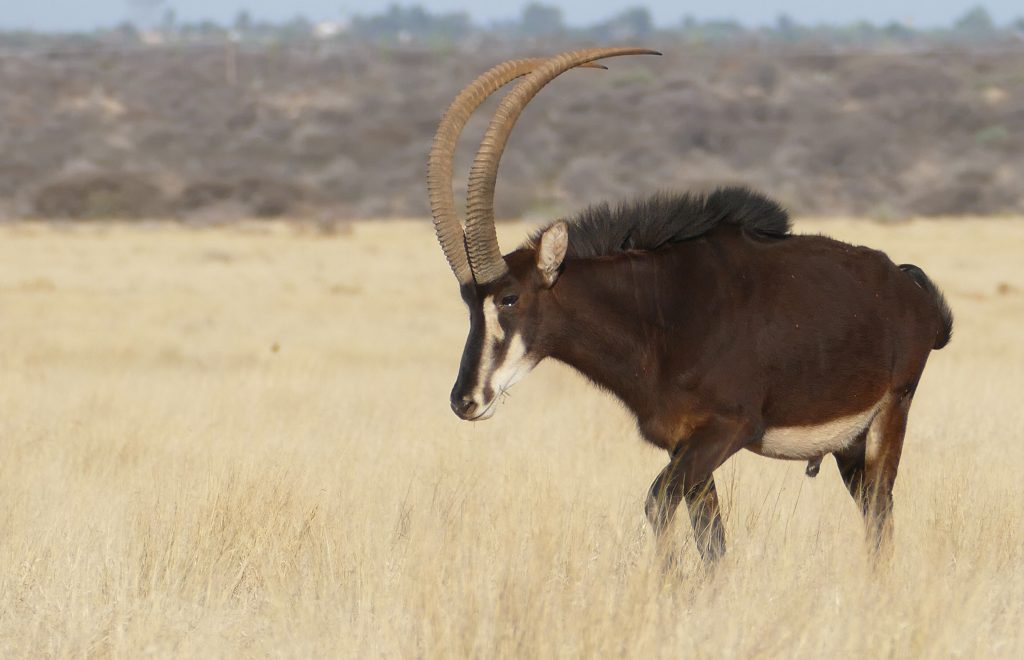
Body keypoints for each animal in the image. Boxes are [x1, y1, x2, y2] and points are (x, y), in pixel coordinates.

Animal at [427, 48, 953, 562]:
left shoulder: (729, 428)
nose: (464, 400)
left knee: (880, 512)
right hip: (849, 445)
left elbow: (658, 504)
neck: (660, 317)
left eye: (509, 297)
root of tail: (910, 287)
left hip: (890, 415)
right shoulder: (683, 441)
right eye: (468, 302)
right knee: (873, 513)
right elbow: (711, 538)